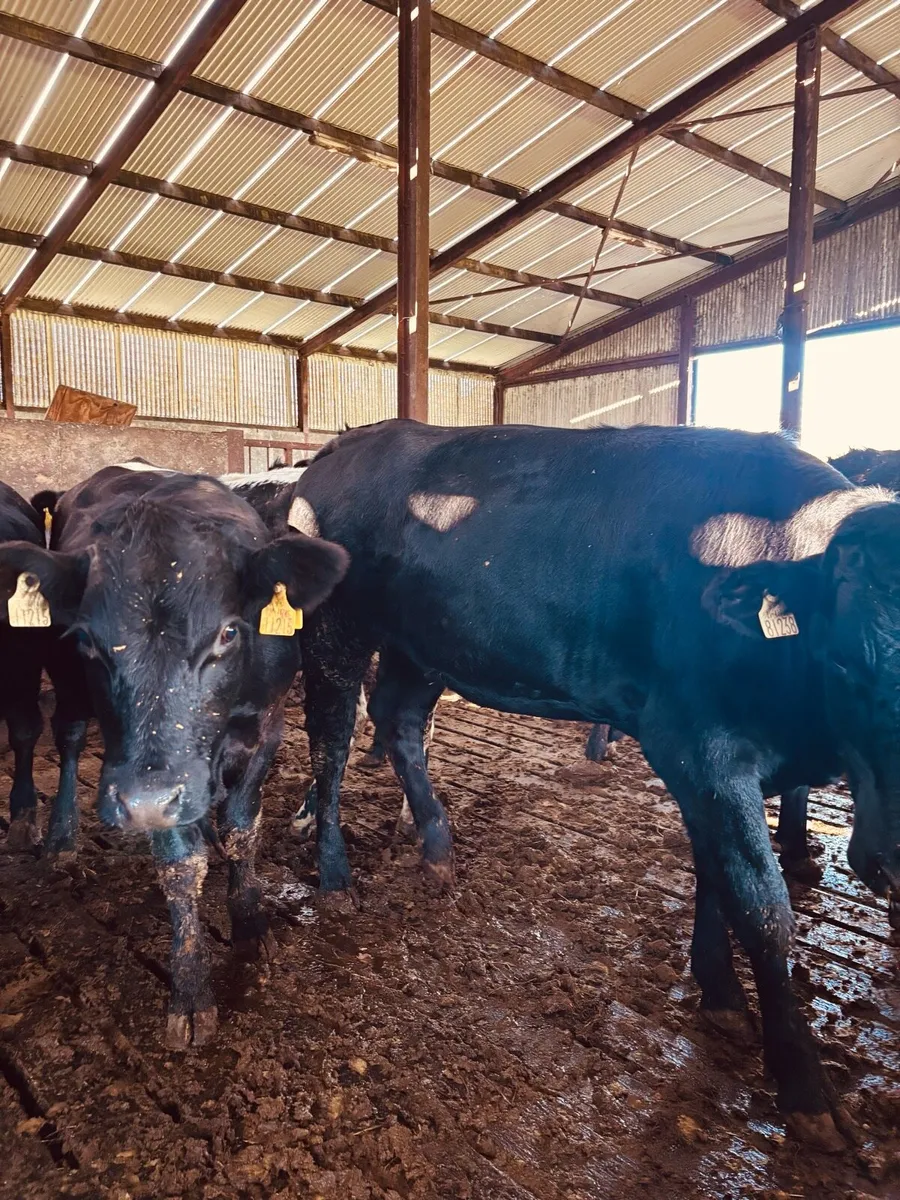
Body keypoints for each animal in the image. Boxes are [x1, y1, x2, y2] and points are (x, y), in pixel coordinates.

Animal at [0, 464, 347, 1046]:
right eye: (89, 639)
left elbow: (241, 828)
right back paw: (57, 837)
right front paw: (190, 990)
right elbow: (180, 864)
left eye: (228, 632)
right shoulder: (148, 780)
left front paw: (249, 924)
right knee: (65, 735)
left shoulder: (267, 725)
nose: (144, 801)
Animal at [288, 418, 900, 1149]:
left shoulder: (709, 770)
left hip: (422, 644)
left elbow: (715, 878)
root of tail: (353, 440)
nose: (892, 861)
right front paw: (804, 1088)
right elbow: (764, 909)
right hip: (335, 632)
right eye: (845, 660)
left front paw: (720, 993)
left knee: (400, 723)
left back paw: (437, 849)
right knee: (330, 741)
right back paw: (334, 875)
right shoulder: (699, 748)